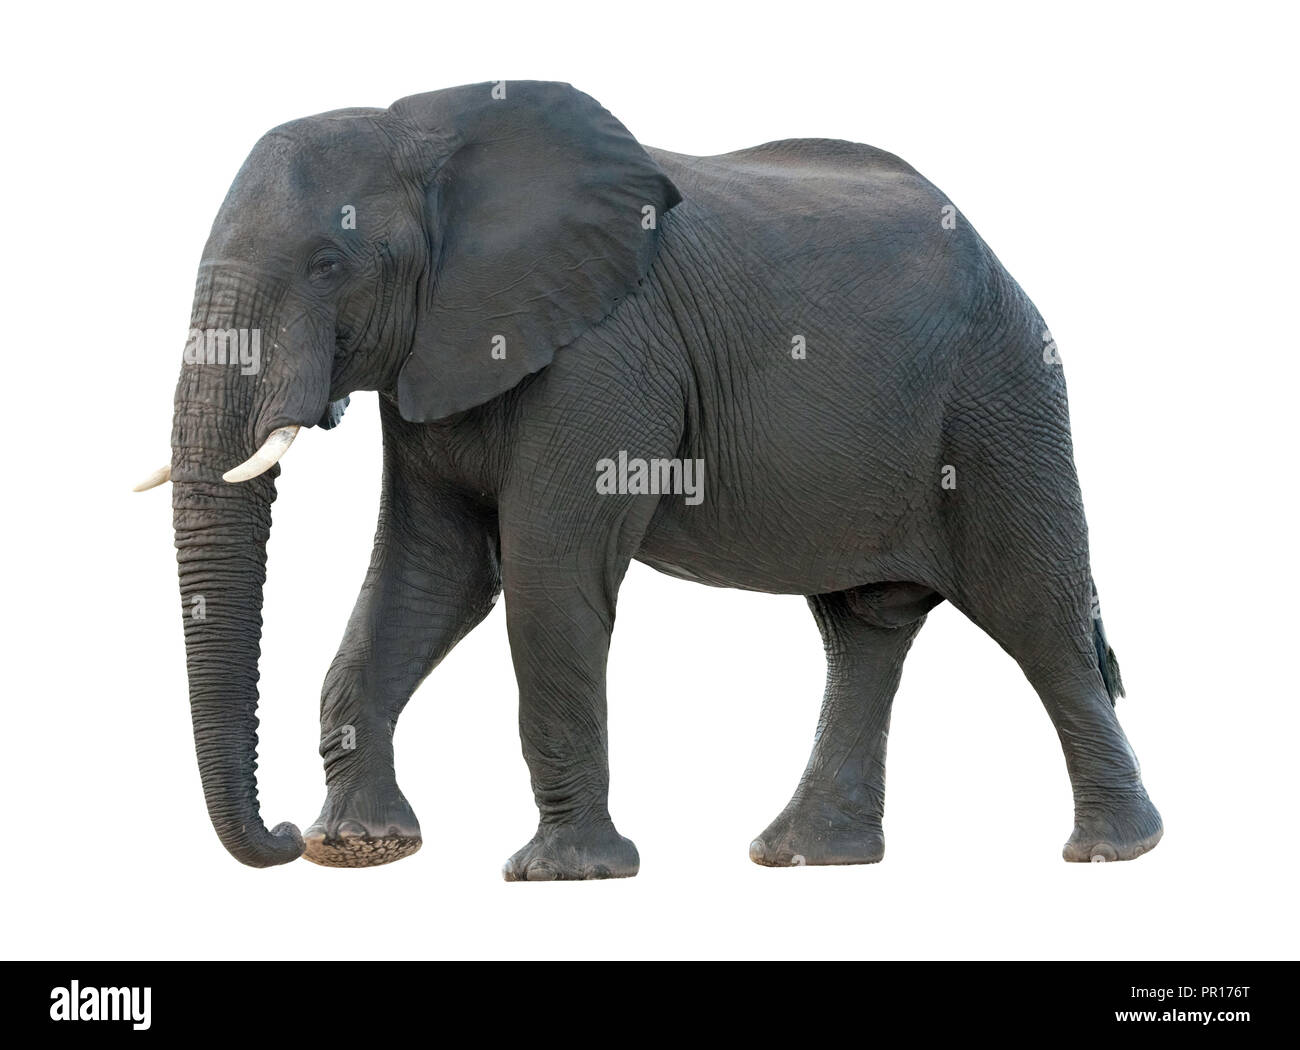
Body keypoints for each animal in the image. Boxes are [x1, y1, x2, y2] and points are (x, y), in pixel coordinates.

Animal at [137, 79, 1164, 878]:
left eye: (328, 264)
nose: (280, 835)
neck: (426, 134)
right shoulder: (436, 357)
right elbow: (429, 576)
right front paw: (363, 850)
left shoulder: (608, 351)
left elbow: (543, 579)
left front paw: (562, 874)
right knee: (863, 631)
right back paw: (804, 857)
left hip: (1002, 398)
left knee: (1036, 610)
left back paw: (1112, 852)